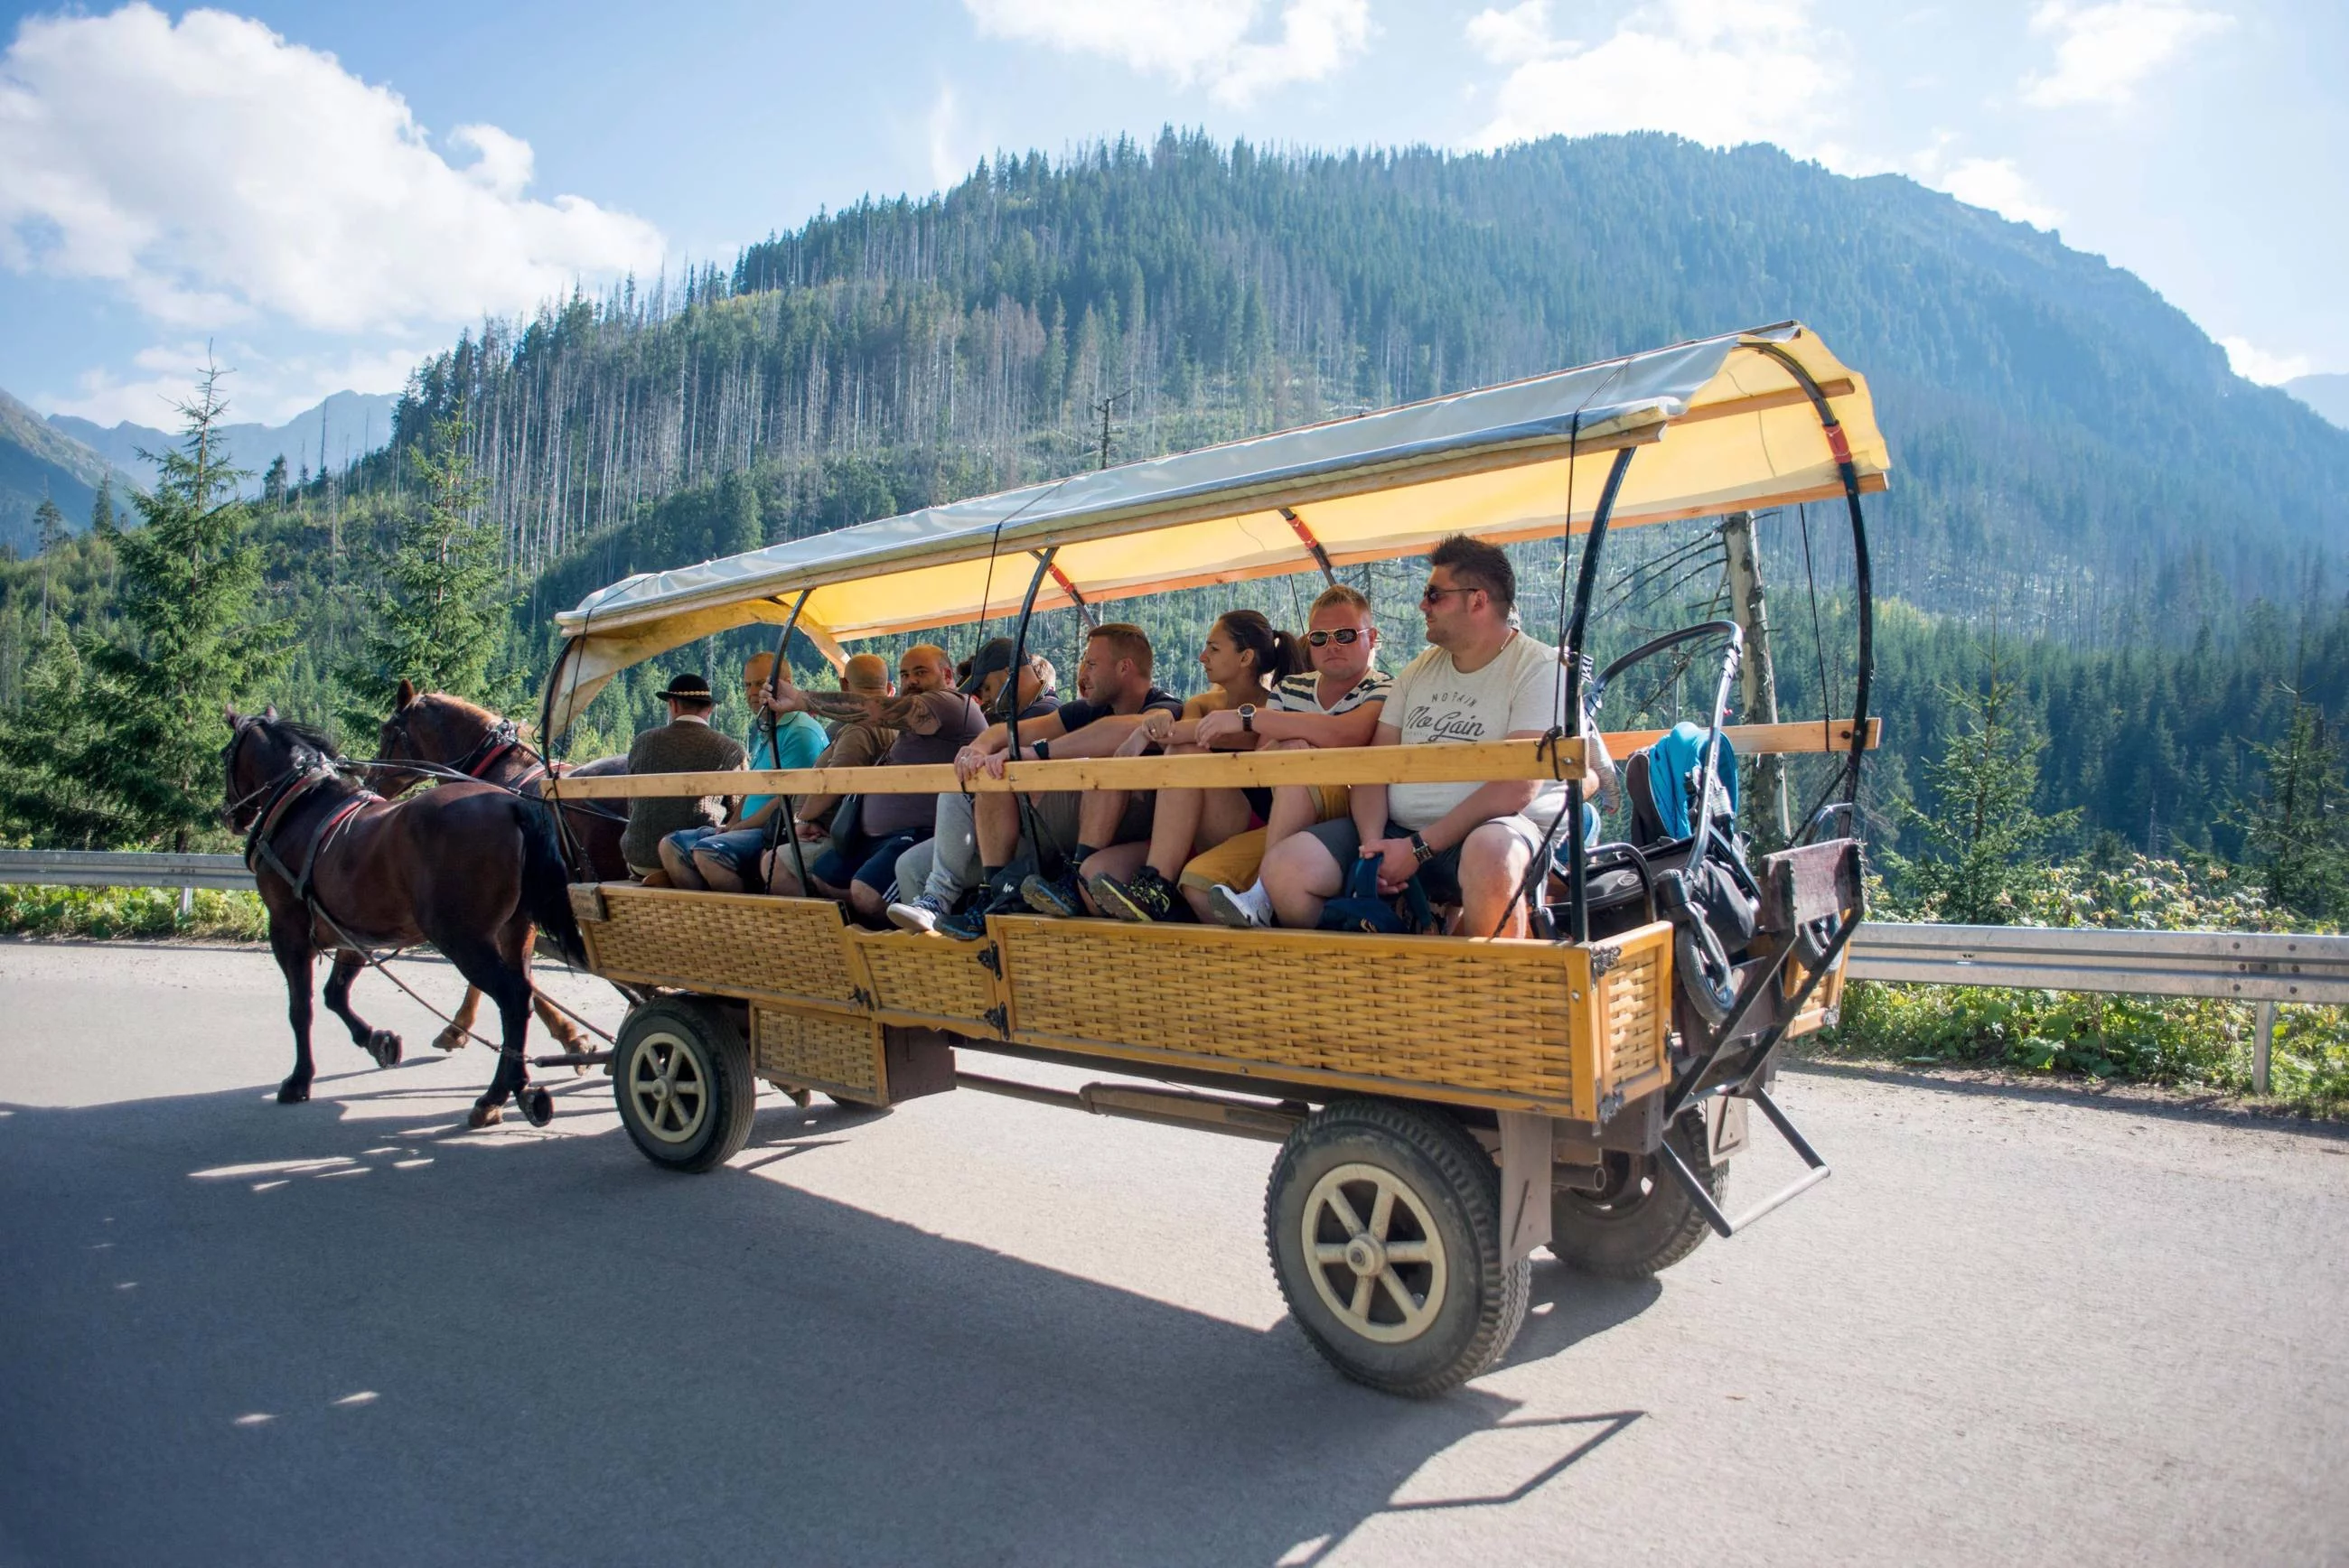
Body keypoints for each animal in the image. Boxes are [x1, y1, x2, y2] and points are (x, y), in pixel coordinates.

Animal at [222, 708, 587, 1126]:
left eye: (225, 755)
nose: (228, 814)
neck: (302, 807)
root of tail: (514, 807)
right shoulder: (352, 932)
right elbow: (335, 994)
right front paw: (378, 1041)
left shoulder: (287, 929)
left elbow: (302, 1007)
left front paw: (299, 1080)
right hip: (513, 931)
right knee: (522, 994)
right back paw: (518, 1085)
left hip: (462, 938)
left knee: (512, 997)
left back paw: (496, 1093)